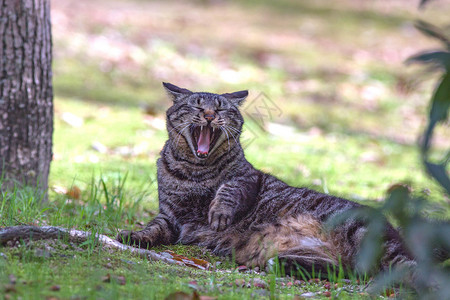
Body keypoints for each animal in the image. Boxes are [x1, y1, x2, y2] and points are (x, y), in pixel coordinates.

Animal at [117, 83, 414, 276]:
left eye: (221, 108)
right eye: (196, 105)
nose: (210, 116)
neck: (194, 172)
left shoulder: (248, 178)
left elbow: (229, 189)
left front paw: (219, 213)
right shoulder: (169, 217)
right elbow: (153, 228)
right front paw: (134, 235)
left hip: (363, 231)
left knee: (403, 266)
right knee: (345, 270)